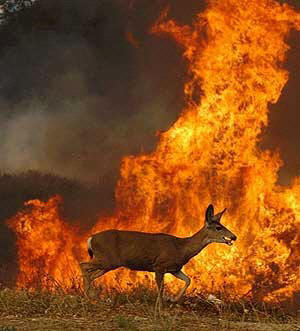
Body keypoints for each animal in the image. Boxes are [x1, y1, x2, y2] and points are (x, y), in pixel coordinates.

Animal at [79, 205, 237, 308]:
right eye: (218, 227)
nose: (234, 237)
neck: (181, 248)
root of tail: (91, 238)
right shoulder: (159, 265)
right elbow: (161, 287)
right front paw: (161, 306)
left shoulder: (174, 268)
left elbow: (188, 280)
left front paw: (172, 300)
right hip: (107, 260)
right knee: (83, 265)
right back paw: (89, 295)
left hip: (108, 263)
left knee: (90, 273)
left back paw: (93, 296)